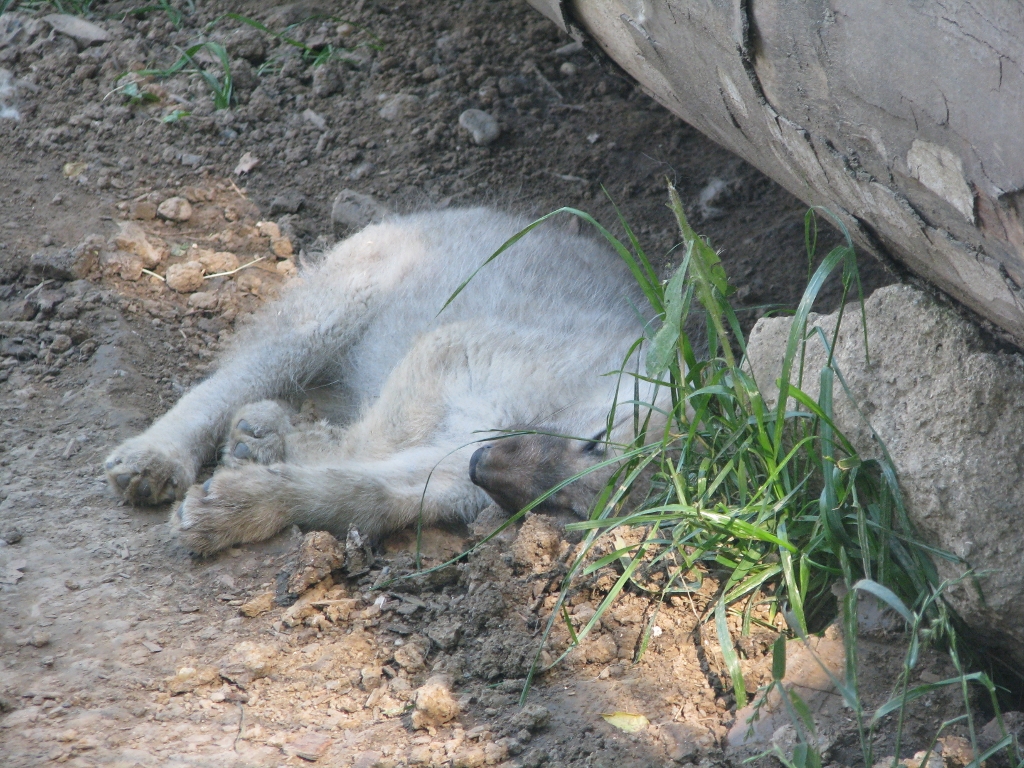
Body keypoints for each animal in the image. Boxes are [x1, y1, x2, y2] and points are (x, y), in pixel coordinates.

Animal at [103, 208, 656, 555]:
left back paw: (262, 429)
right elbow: (368, 442)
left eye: (567, 509)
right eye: (595, 440)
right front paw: (284, 452)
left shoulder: (450, 480)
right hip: (330, 315)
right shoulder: (452, 349)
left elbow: (356, 492)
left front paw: (241, 503)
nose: (482, 465)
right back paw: (158, 455)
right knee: (226, 383)